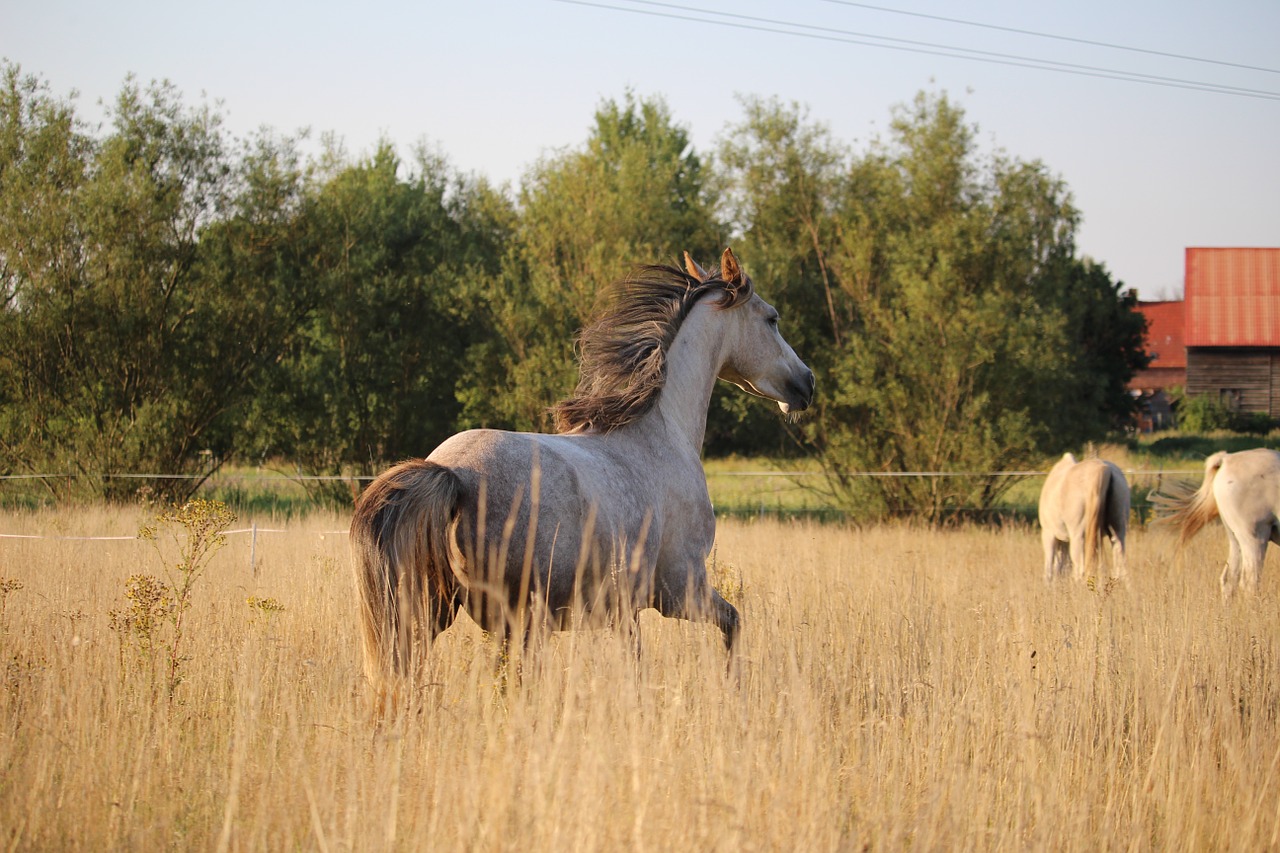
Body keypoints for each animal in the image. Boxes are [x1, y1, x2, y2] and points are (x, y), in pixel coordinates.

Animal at [345, 249, 814, 701]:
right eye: (771, 318)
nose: (806, 384)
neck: (662, 431)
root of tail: (450, 472)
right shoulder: (681, 590)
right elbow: (733, 623)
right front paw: (735, 692)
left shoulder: (624, 611)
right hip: (515, 620)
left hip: (432, 611)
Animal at [1039, 450, 1131, 584]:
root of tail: (1105, 469)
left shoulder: (1048, 533)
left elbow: (1049, 567)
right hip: (1118, 532)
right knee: (1121, 566)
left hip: (1078, 537)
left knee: (1080, 570)